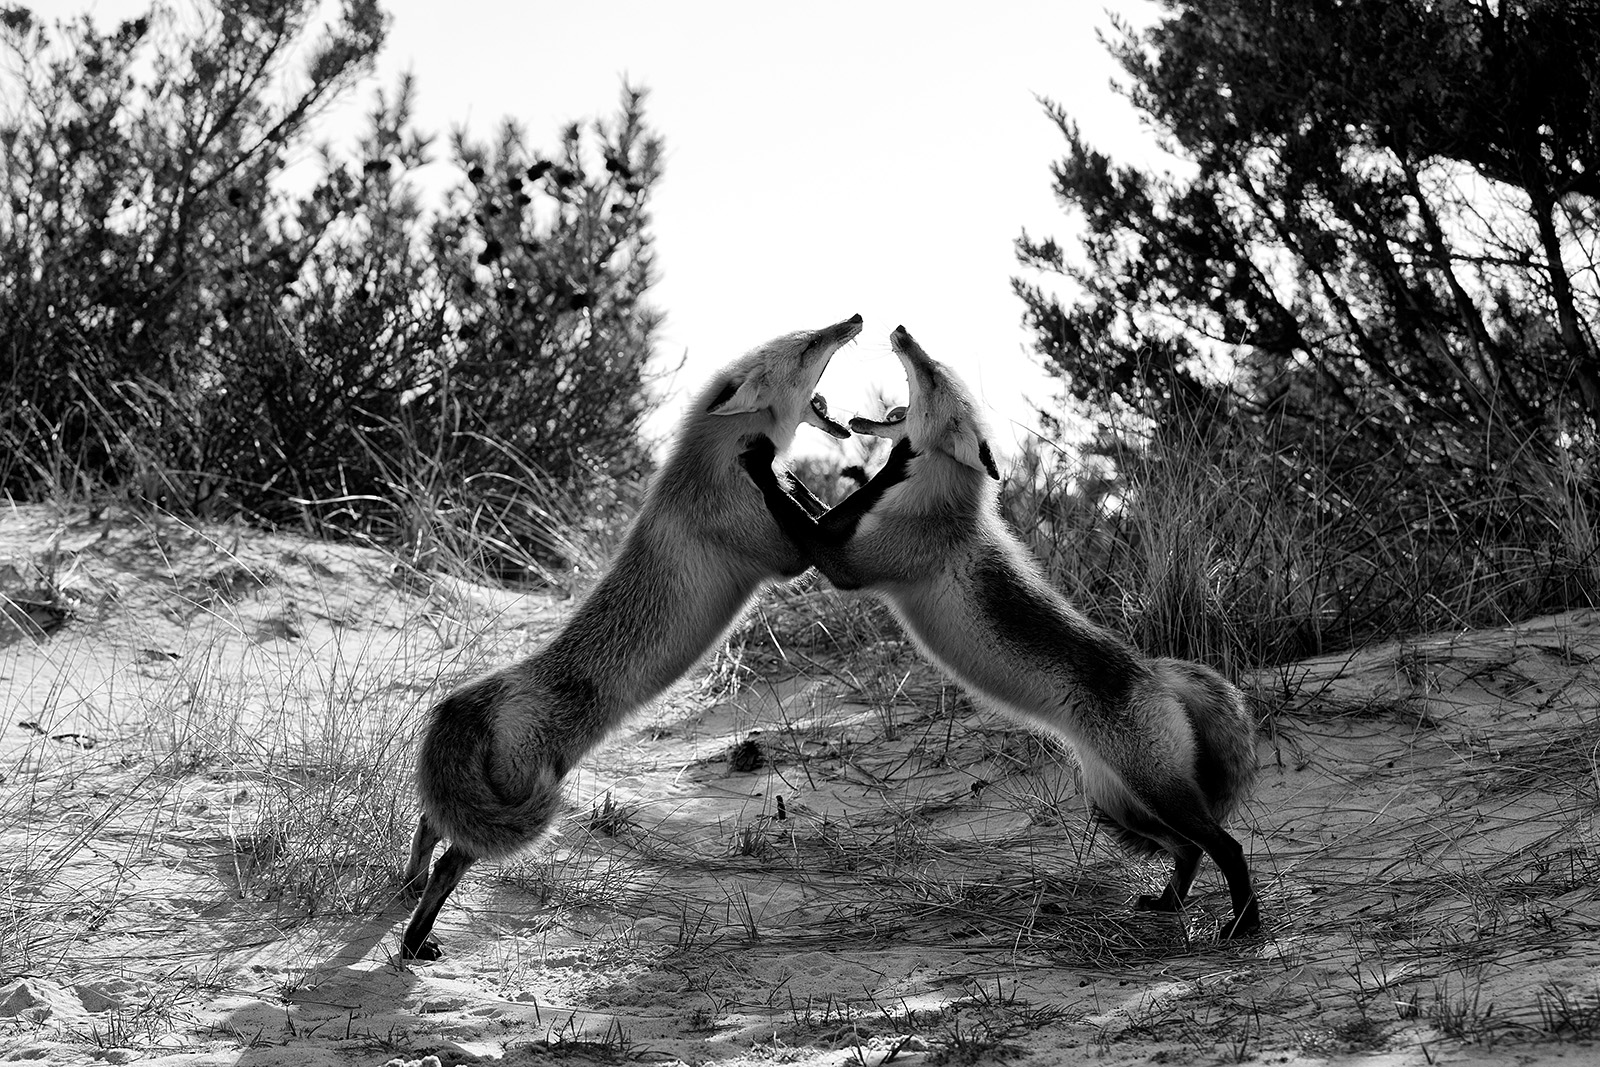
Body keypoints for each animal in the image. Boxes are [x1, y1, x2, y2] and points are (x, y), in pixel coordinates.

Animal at [398, 314, 872, 961]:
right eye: (806, 347)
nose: (853, 319)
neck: (712, 466)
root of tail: (476, 697)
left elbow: (807, 499)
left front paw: (792, 476)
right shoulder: (783, 556)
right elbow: (807, 522)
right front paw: (786, 476)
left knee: (429, 820)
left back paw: (406, 887)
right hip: (523, 792)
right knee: (452, 859)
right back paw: (413, 940)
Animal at [740, 326, 1261, 939]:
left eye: (931, 376)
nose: (901, 331)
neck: (940, 499)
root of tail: (1153, 670)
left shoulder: (848, 565)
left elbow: (801, 515)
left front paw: (765, 463)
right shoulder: (845, 544)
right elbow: (812, 504)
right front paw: (803, 468)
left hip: (1156, 793)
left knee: (1226, 847)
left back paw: (1243, 924)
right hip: (1119, 803)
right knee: (1188, 851)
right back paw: (1169, 904)